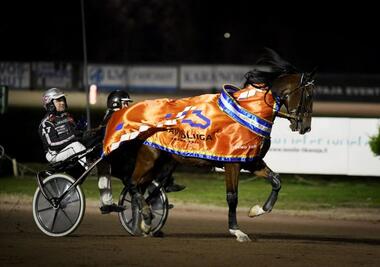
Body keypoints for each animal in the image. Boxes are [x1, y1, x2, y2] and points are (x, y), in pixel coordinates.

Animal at [102, 48, 316, 243]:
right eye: (308, 96)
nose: (306, 127)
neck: (249, 113)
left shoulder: (251, 161)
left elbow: (276, 181)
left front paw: (258, 210)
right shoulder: (232, 163)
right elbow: (232, 197)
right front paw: (237, 231)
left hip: (165, 163)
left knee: (147, 190)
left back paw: (145, 224)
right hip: (149, 159)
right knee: (133, 184)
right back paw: (145, 218)